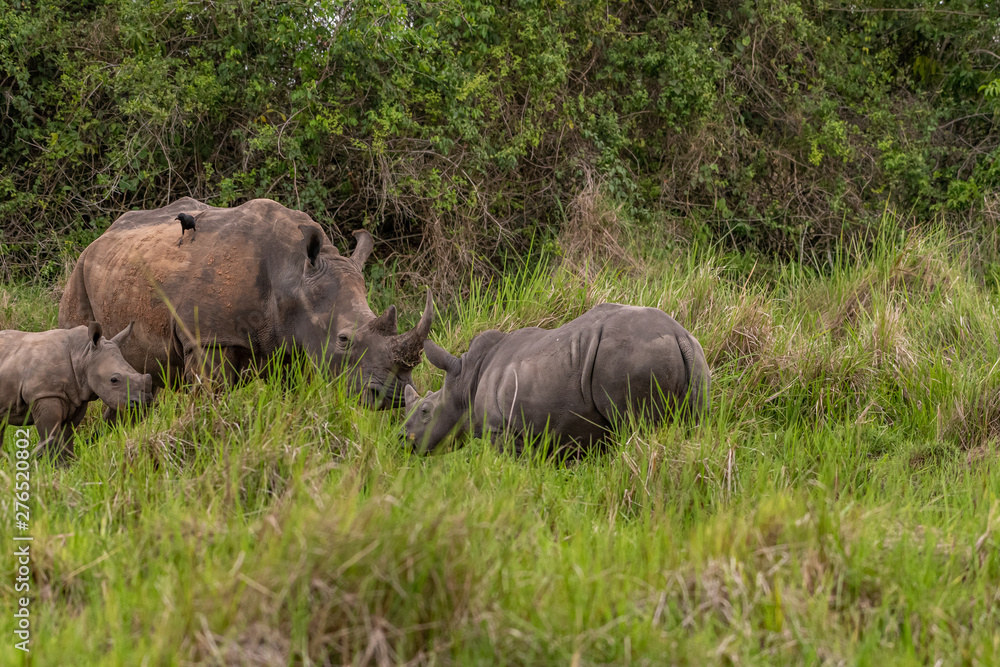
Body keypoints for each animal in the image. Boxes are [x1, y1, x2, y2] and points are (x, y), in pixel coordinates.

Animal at [0, 324, 154, 460]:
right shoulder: (44, 394)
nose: (144, 401)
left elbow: (67, 434)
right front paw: (57, 467)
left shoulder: (77, 398)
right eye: (114, 380)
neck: (83, 354)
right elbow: (51, 434)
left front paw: (69, 464)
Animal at [400, 302, 712, 454]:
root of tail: (679, 334)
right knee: (695, 426)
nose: (402, 440)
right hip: (696, 357)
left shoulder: (500, 430)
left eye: (426, 411)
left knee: (637, 427)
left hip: (632, 356)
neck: (463, 382)